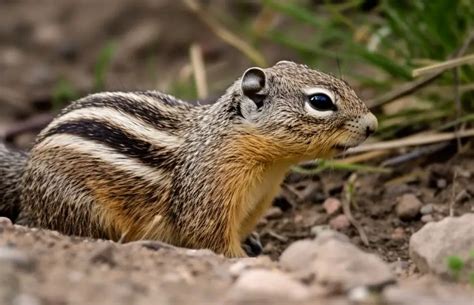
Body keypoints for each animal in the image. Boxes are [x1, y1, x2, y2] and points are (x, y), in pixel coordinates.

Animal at [0, 60, 378, 256]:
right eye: (320, 102)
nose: (373, 125)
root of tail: (26, 174)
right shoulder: (207, 201)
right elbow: (212, 241)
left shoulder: (253, 205)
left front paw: (253, 242)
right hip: (83, 208)